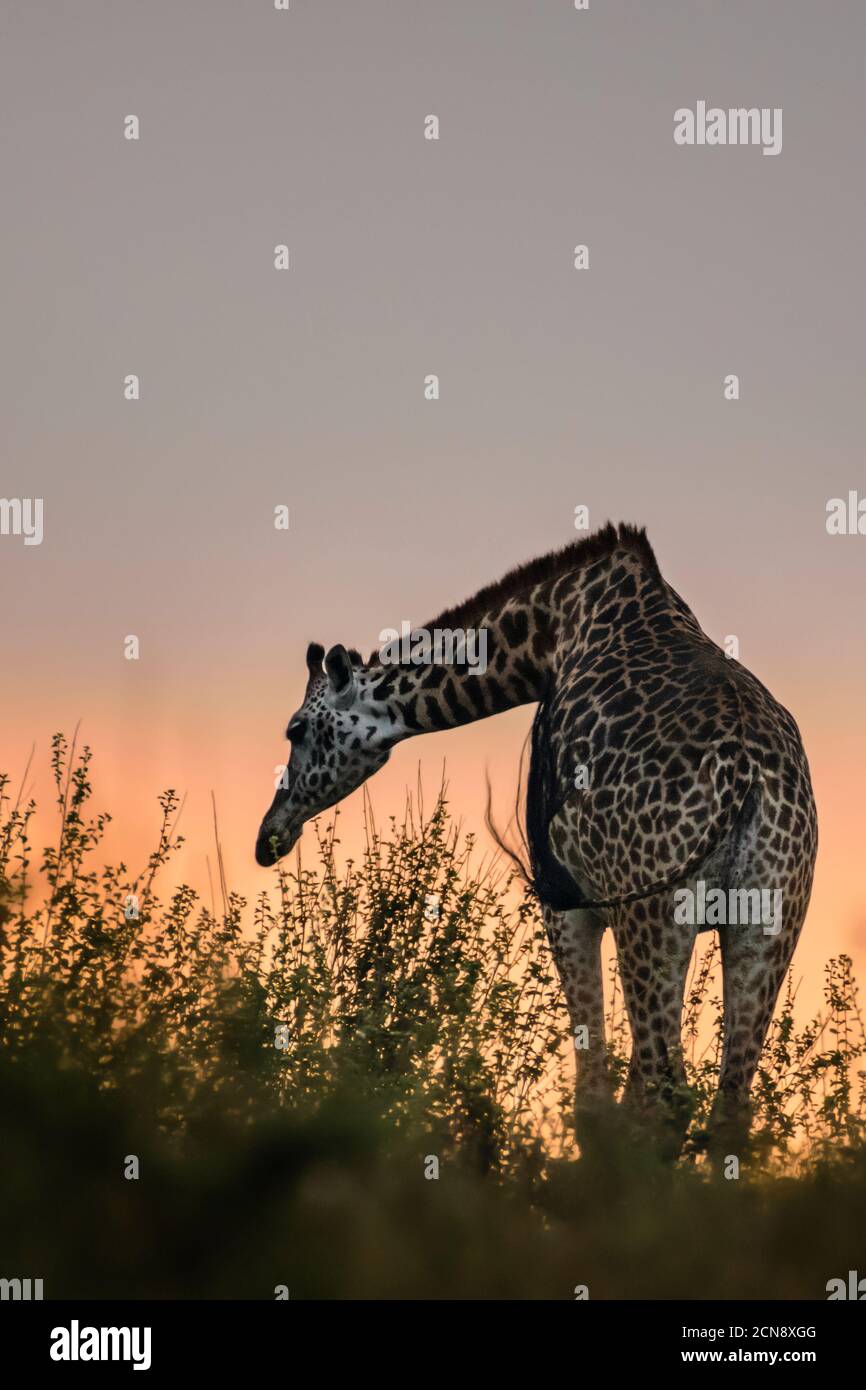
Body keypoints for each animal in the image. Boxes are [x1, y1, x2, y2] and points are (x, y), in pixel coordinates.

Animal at [255, 523, 818, 1157]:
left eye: (296, 729)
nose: (268, 836)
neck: (548, 634)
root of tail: (747, 776)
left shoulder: (564, 903)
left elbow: (593, 1098)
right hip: (769, 921)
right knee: (729, 1108)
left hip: (652, 916)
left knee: (664, 1096)